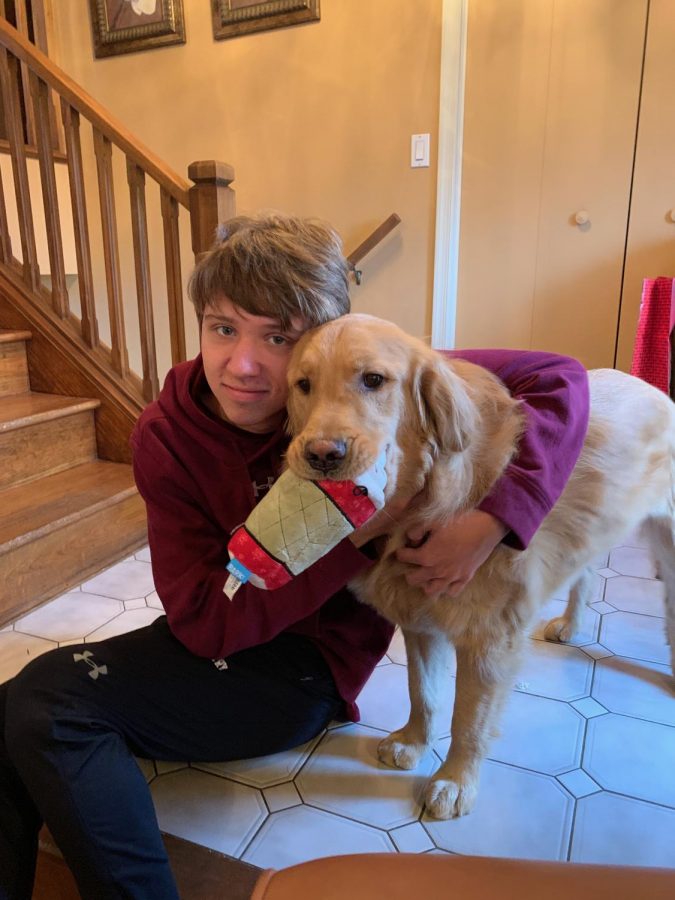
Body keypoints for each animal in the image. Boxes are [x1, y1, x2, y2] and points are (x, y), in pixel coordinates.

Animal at [286, 312, 675, 820]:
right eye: (303, 384)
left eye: (373, 380)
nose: (321, 455)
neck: (430, 499)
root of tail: (654, 388)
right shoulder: (420, 623)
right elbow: (424, 693)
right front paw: (414, 742)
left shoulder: (490, 640)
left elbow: (469, 720)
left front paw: (455, 781)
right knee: (586, 574)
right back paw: (571, 625)